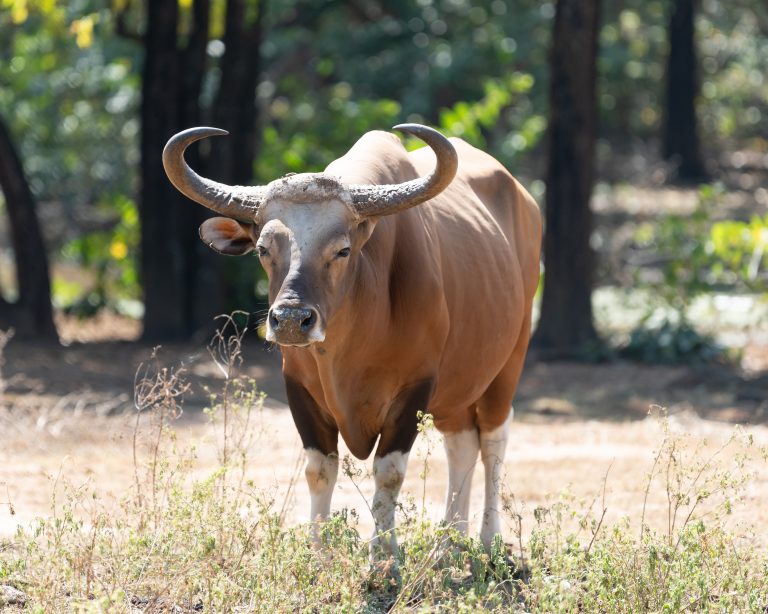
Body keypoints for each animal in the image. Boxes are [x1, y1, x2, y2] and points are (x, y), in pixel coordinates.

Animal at [164, 125, 540, 560]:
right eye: (262, 249)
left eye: (342, 249)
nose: (290, 320)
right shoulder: (299, 387)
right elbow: (319, 469)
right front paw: (319, 554)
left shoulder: (416, 388)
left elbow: (389, 473)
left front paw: (384, 558)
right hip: (458, 385)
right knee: (461, 442)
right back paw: (449, 545)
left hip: (509, 363)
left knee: (494, 441)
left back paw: (488, 539)